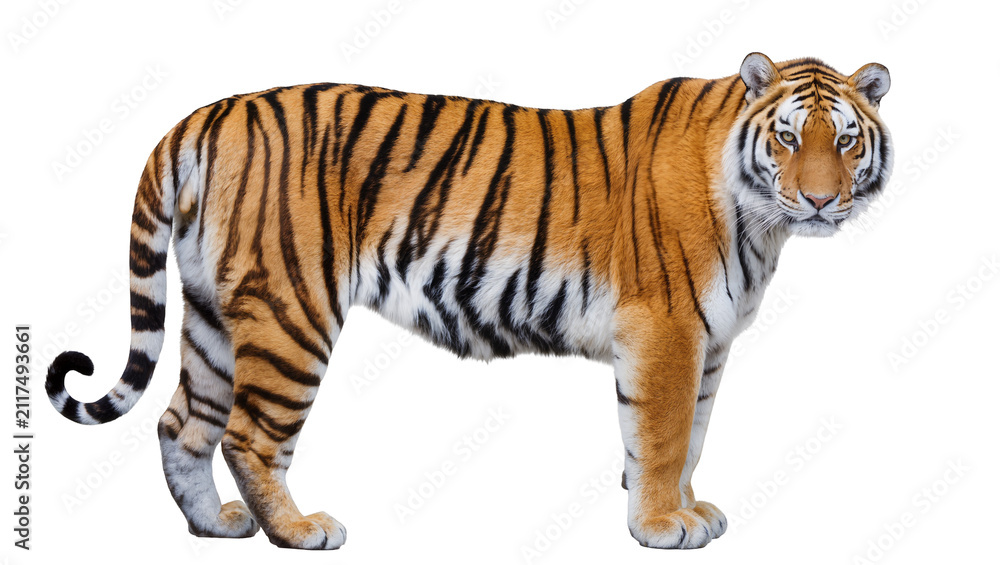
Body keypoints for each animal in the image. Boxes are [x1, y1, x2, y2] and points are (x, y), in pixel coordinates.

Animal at [45, 52, 892, 550]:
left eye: (846, 140)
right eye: (787, 137)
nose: (822, 201)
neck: (762, 222)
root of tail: (205, 114)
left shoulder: (708, 344)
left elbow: (694, 436)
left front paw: (691, 509)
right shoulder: (668, 332)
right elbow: (660, 436)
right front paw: (658, 525)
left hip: (216, 314)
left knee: (179, 422)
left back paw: (214, 525)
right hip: (291, 311)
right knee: (247, 433)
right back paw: (297, 529)